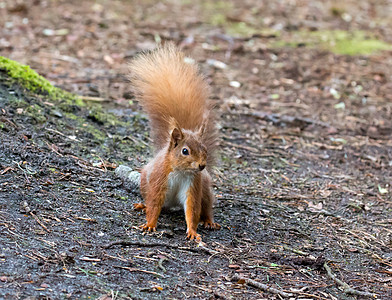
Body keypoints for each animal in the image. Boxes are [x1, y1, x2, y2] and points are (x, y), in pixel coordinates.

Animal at [129, 43, 220, 241]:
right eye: (185, 151)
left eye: (205, 149)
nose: (201, 165)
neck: (181, 171)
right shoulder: (159, 179)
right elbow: (155, 203)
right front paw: (150, 224)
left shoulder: (193, 185)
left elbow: (192, 210)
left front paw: (193, 231)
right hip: (145, 181)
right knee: (152, 202)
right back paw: (143, 206)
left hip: (205, 188)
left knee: (206, 206)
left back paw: (209, 221)